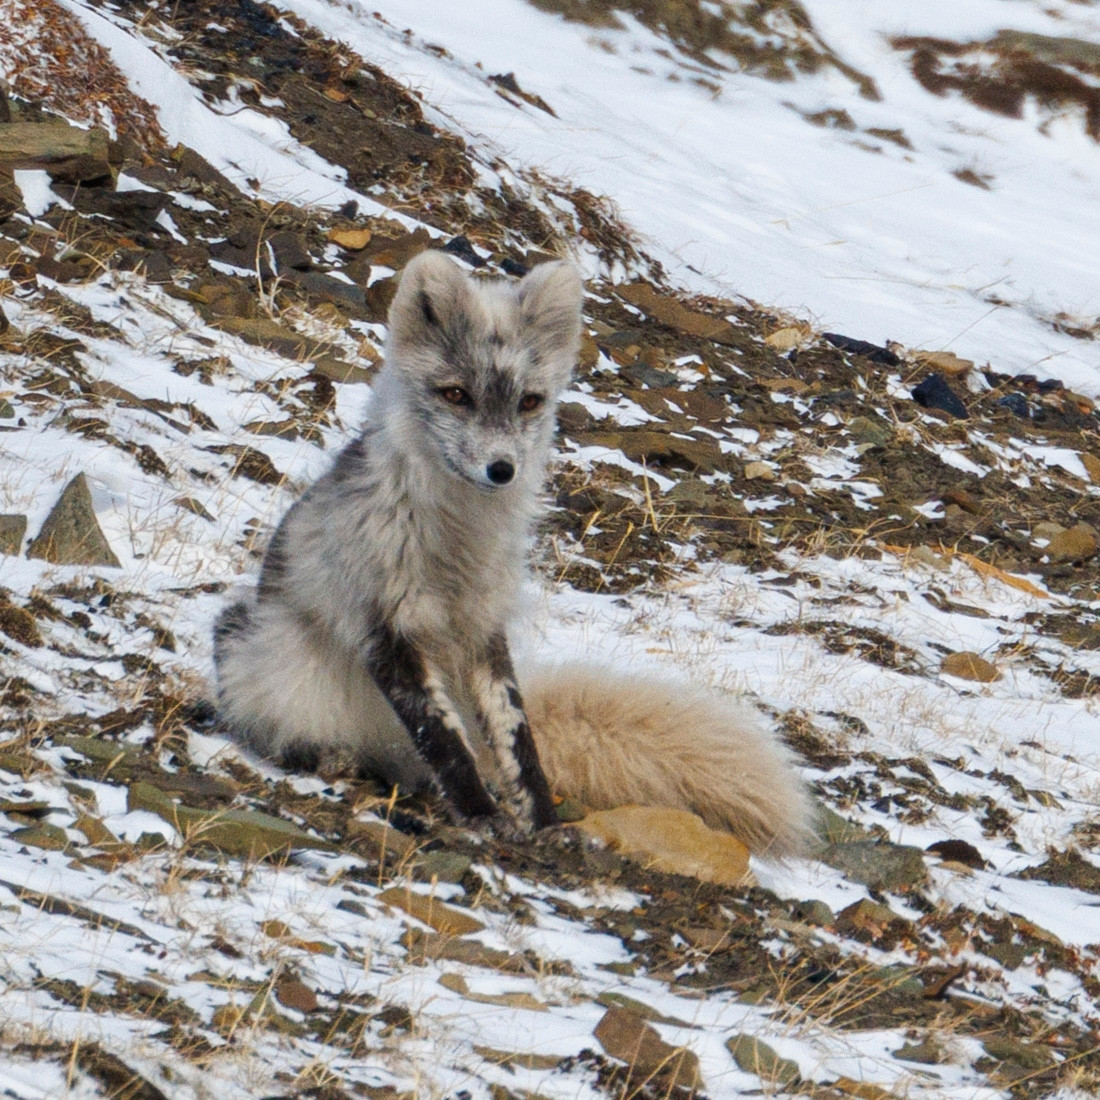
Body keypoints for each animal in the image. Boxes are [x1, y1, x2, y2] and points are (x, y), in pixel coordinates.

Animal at [214, 251, 814, 858]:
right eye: (456, 395)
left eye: (529, 402)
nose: (501, 470)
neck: (457, 545)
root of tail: (374, 744)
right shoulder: (384, 626)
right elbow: (444, 740)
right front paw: (482, 817)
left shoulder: (484, 629)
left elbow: (517, 742)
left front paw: (543, 822)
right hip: (249, 643)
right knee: (269, 723)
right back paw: (324, 755)